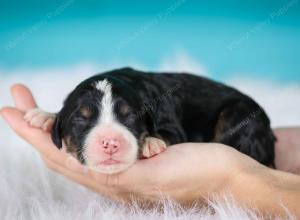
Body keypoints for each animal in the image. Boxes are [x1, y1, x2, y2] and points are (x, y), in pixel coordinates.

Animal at [24, 67, 276, 174]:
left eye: (130, 116)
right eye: (81, 119)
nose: (110, 143)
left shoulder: (172, 124)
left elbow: (168, 133)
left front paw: (151, 142)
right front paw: (44, 115)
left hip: (239, 114)